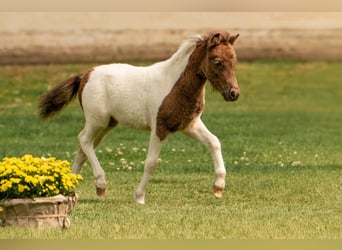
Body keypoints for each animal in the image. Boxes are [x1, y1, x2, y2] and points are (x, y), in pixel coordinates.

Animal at [38, 31, 239, 204]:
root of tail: (84, 75)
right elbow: (151, 163)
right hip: (97, 121)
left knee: (83, 149)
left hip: (107, 124)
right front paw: (139, 197)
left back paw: (71, 188)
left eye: (234, 60)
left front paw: (218, 188)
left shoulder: (189, 125)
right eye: (218, 61)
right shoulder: (159, 128)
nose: (233, 93)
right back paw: (100, 185)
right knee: (84, 140)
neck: (174, 85)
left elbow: (214, 142)